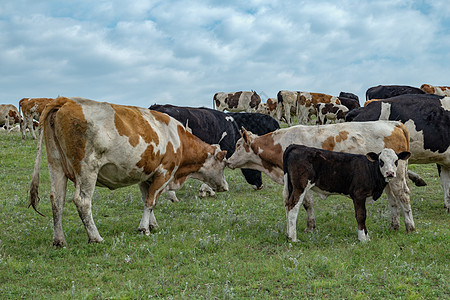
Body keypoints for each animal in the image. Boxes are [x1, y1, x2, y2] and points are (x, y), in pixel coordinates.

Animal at [28, 96, 229, 246]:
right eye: (223, 164)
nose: (225, 187)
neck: (177, 138)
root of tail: (66, 101)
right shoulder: (164, 172)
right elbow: (151, 201)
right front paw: (144, 228)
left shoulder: (145, 175)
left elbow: (146, 199)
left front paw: (152, 224)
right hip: (87, 169)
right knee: (82, 201)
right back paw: (95, 237)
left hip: (56, 165)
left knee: (57, 200)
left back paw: (59, 240)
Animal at [284, 145, 412, 241]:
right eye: (381, 161)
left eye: (396, 161)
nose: (390, 173)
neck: (370, 170)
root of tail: (297, 146)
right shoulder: (358, 195)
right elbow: (361, 215)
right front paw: (362, 238)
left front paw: (366, 236)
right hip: (300, 187)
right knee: (293, 207)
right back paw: (293, 238)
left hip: (291, 187)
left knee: (287, 205)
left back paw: (288, 234)